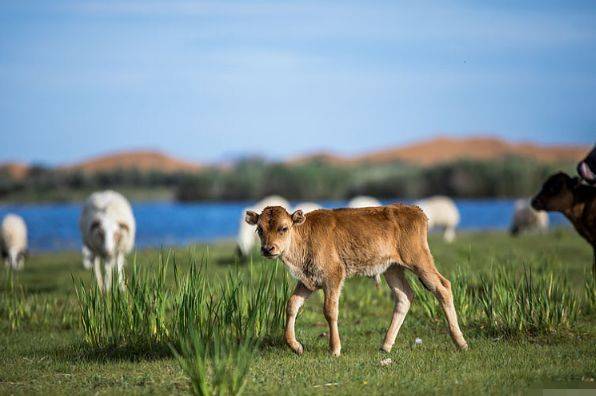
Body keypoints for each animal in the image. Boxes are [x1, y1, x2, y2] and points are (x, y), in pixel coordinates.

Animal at [244, 204, 468, 356]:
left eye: (283, 228)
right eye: (260, 229)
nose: (268, 249)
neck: (304, 236)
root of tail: (415, 210)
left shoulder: (333, 277)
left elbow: (330, 310)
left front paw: (334, 349)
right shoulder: (308, 281)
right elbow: (292, 305)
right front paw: (296, 346)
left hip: (419, 261)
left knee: (442, 287)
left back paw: (461, 342)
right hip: (392, 269)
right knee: (404, 296)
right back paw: (385, 346)